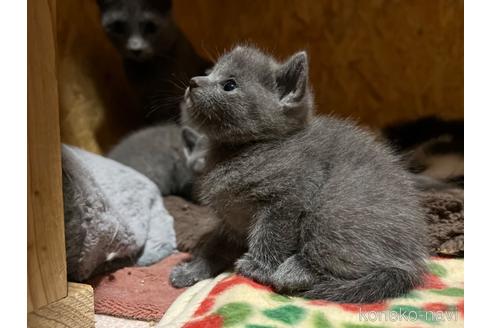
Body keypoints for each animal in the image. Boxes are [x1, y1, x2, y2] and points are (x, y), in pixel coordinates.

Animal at [169, 45, 426, 302]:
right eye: (209, 72)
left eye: (229, 85)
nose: (193, 82)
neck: (243, 149)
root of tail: (412, 261)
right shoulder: (230, 219)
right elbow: (214, 245)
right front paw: (191, 270)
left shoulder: (290, 196)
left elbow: (272, 233)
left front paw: (259, 267)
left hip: (332, 206)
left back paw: (293, 271)